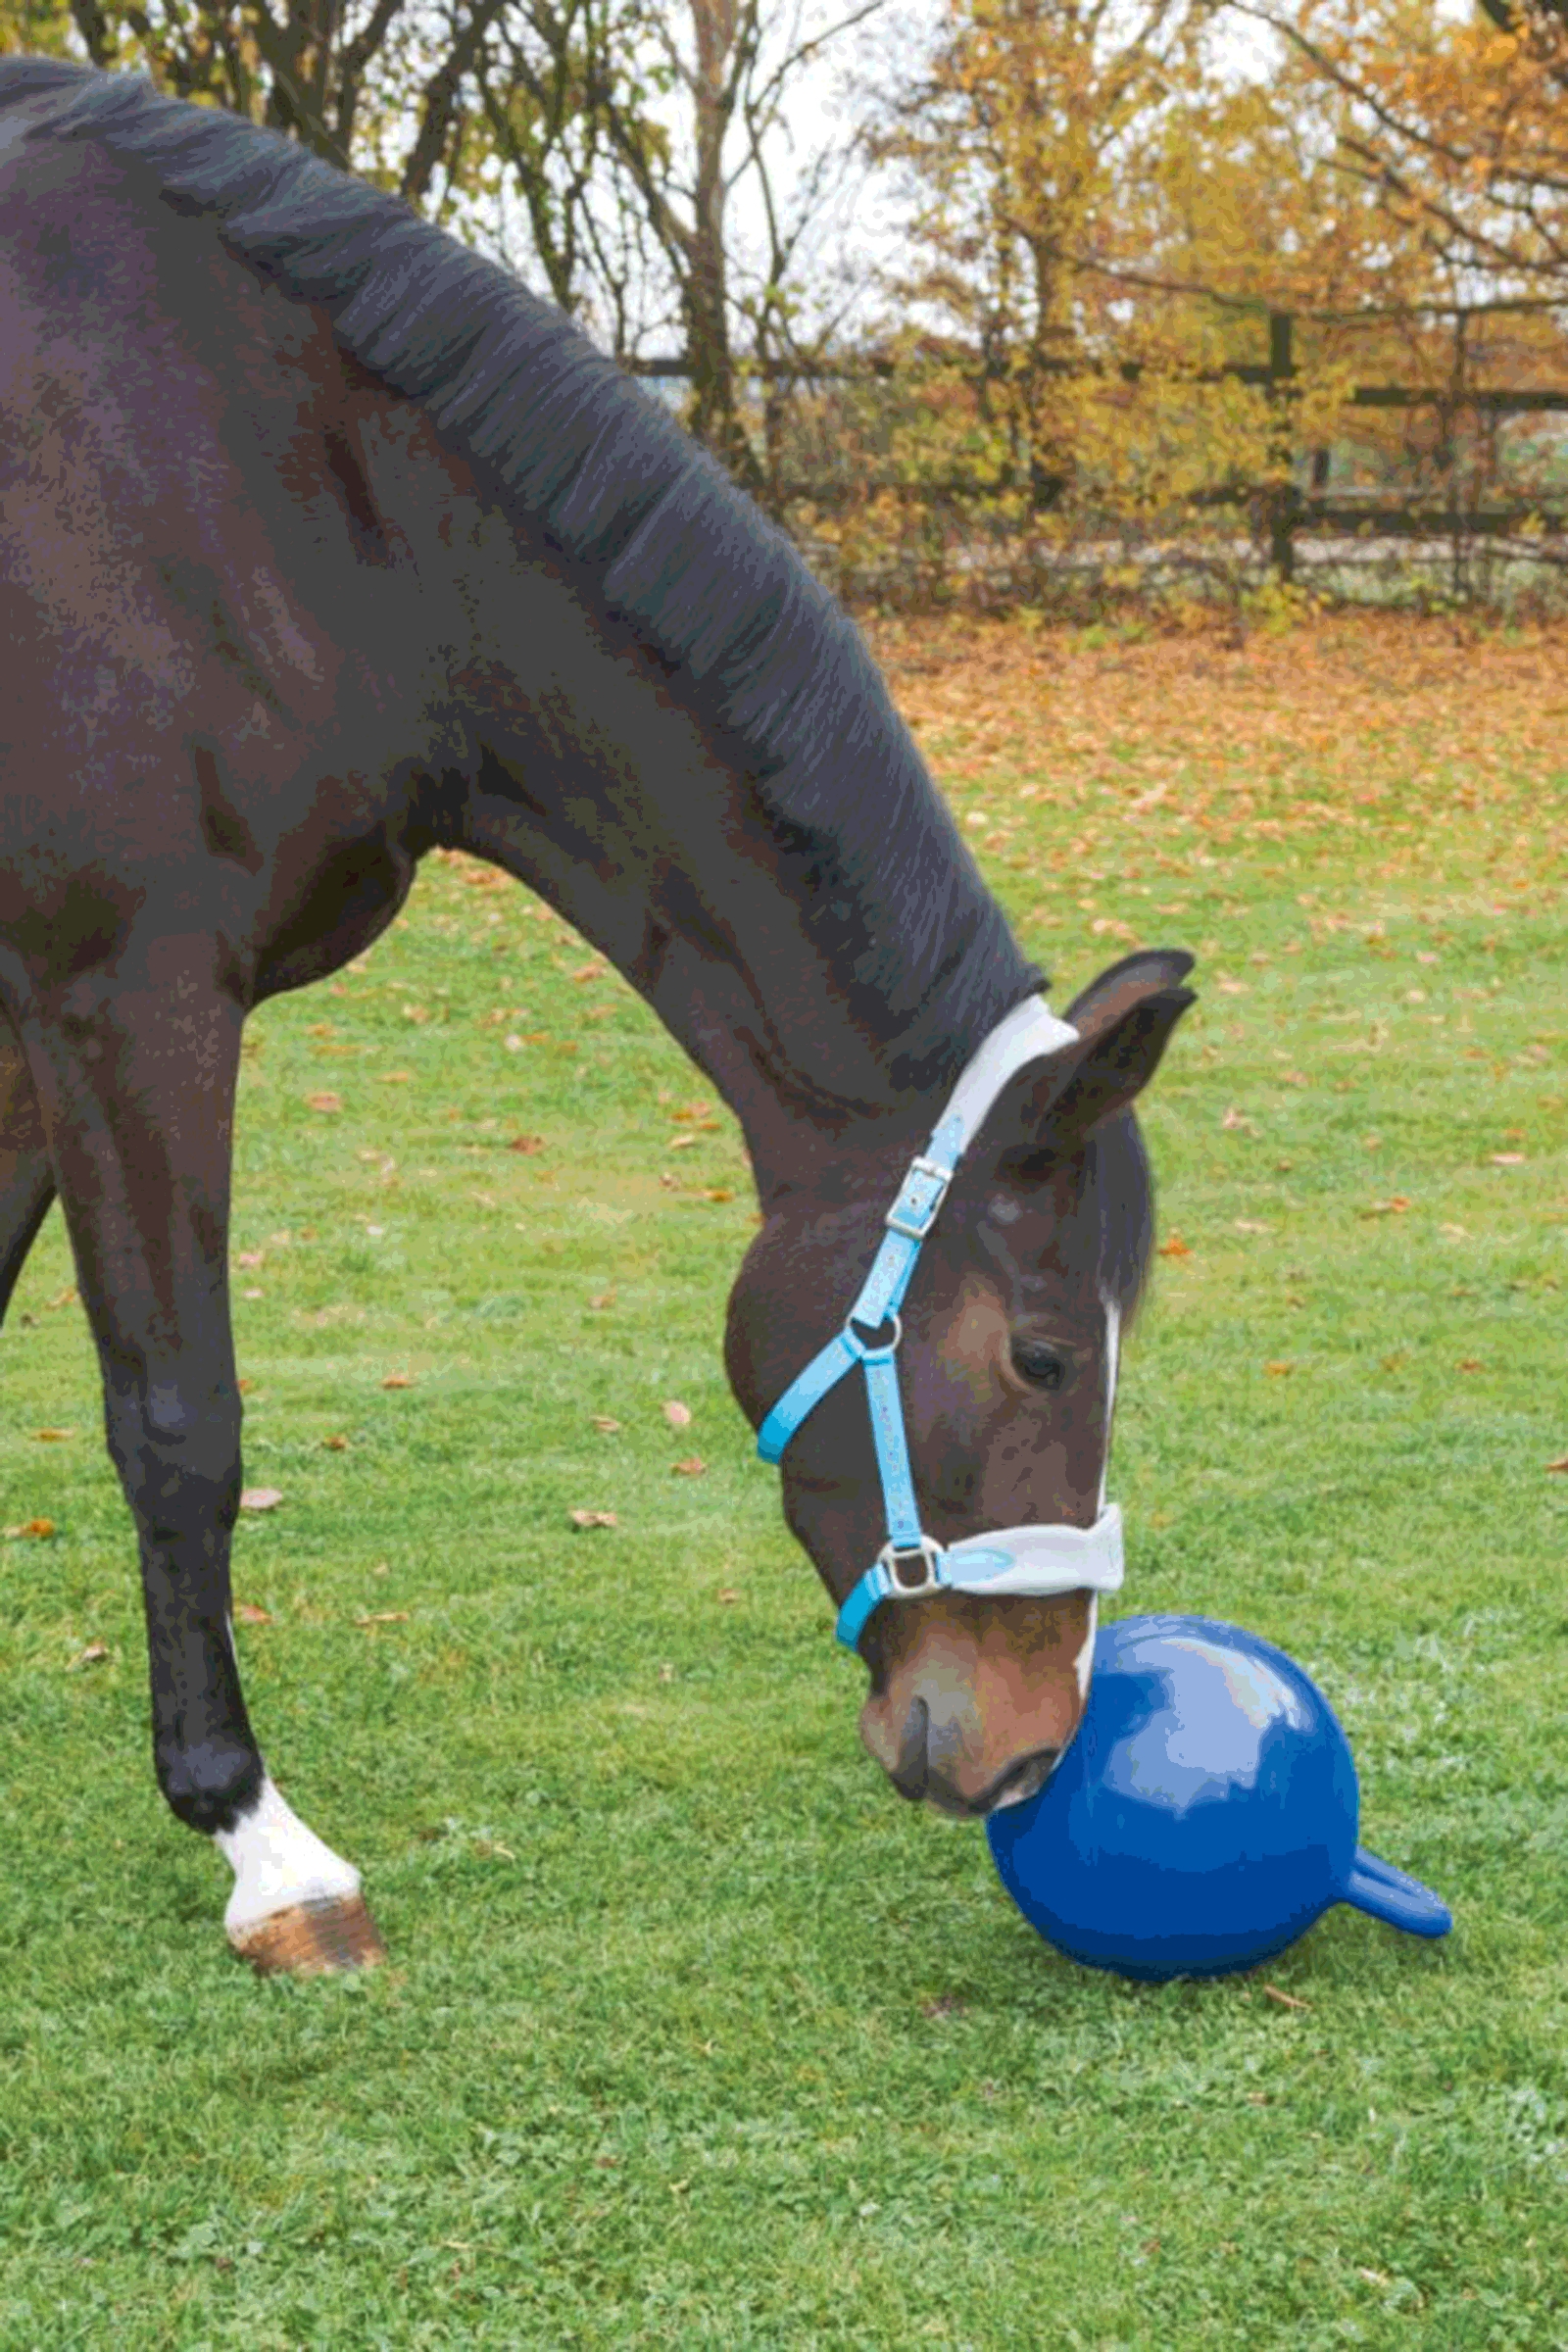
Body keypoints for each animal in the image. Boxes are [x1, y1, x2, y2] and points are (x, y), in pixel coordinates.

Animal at [0, 56, 1194, 1976]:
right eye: (1039, 1354)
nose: (1026, 1752)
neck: (252, 489)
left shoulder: (26, 1018)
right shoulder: (126, 995)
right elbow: (180, 1422)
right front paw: (262, 1846)